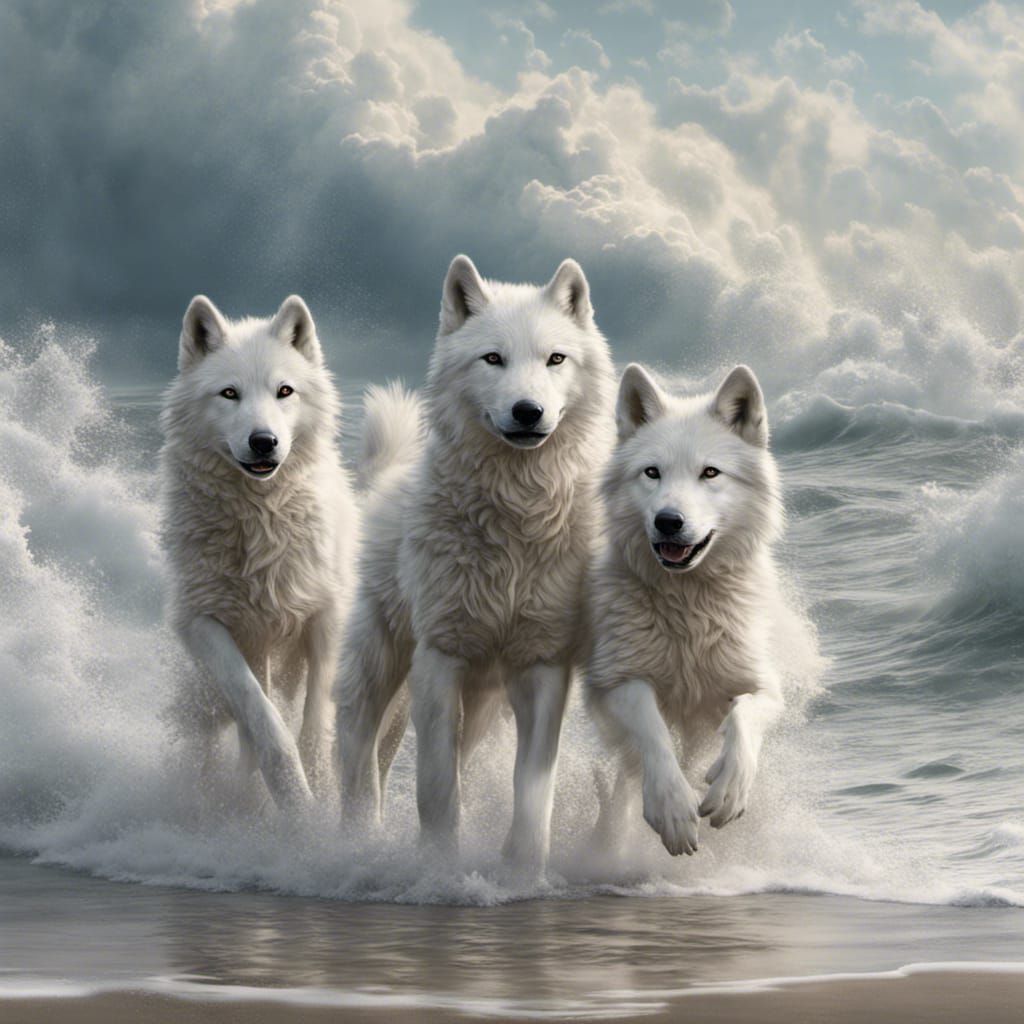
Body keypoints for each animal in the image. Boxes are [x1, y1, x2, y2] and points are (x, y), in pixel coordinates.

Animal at [160, 294, 356, 810]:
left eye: (284, 391)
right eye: (229, 394)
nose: (263, 441)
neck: (260, 519)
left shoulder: (326, 614)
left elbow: (315, 723)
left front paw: (320, 792)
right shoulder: (203, 624)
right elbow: (262, 718)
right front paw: (293, 801)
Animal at [337, 255, 615, 869]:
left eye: (555, 358)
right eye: (493, 358)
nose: (528, 411)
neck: (515, 519)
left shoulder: (543, 665)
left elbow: (532, 789)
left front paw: (521, 871)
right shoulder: (441, 657)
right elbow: (436, 787)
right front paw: (440, 868)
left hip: (483, 704)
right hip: (379, 667)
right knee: (358, 756)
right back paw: (357, 839)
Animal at [586, 363, 784, 856]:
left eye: (710, 473)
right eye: (652, 473)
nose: (669, 521)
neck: (688, 606)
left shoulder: (765, 685)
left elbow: (744, 717)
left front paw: (729, 789)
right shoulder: (613, 682)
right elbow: (652, 731)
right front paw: (672, 809)